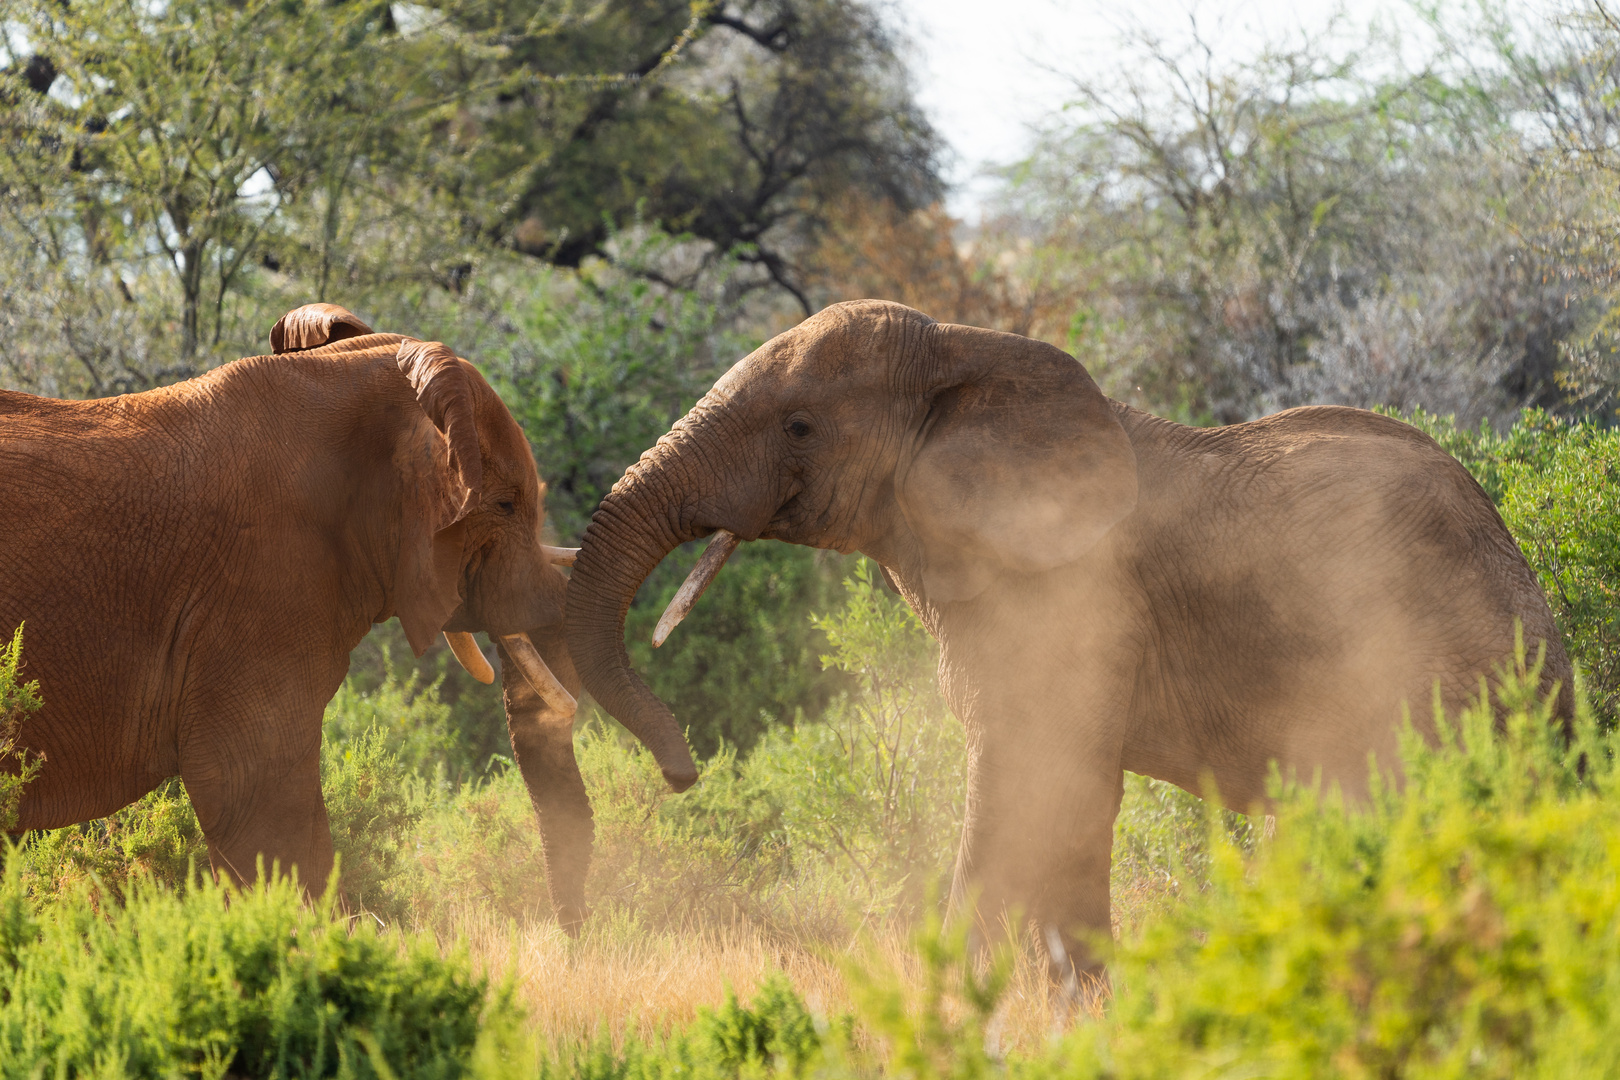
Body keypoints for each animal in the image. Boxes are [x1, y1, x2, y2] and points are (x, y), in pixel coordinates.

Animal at [567, 297, 1568, 990]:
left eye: (800, 426)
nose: (683, 774)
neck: (965, 348)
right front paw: (1076, 1004)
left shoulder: (1080, 599)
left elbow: (1038, 778)